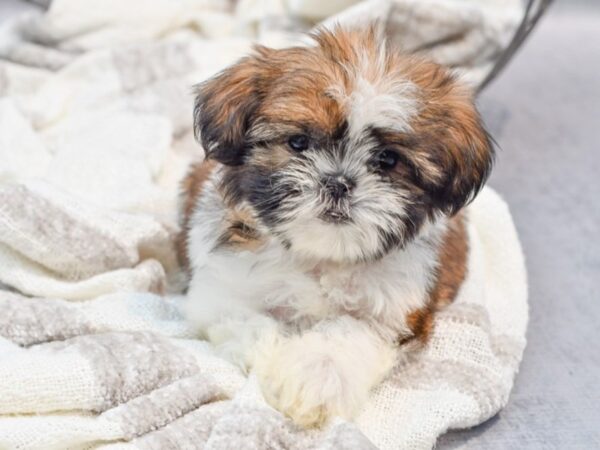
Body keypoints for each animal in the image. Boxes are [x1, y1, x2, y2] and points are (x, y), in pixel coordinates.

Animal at [178, 26, 492, 428]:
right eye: (298, 143)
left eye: (387, 160)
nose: (338, 182)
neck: (321, 254)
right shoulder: (221, 287)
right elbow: (249, 318)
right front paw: (275, 358)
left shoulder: (396, 310)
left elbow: (345, 332)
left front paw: (315, 379)